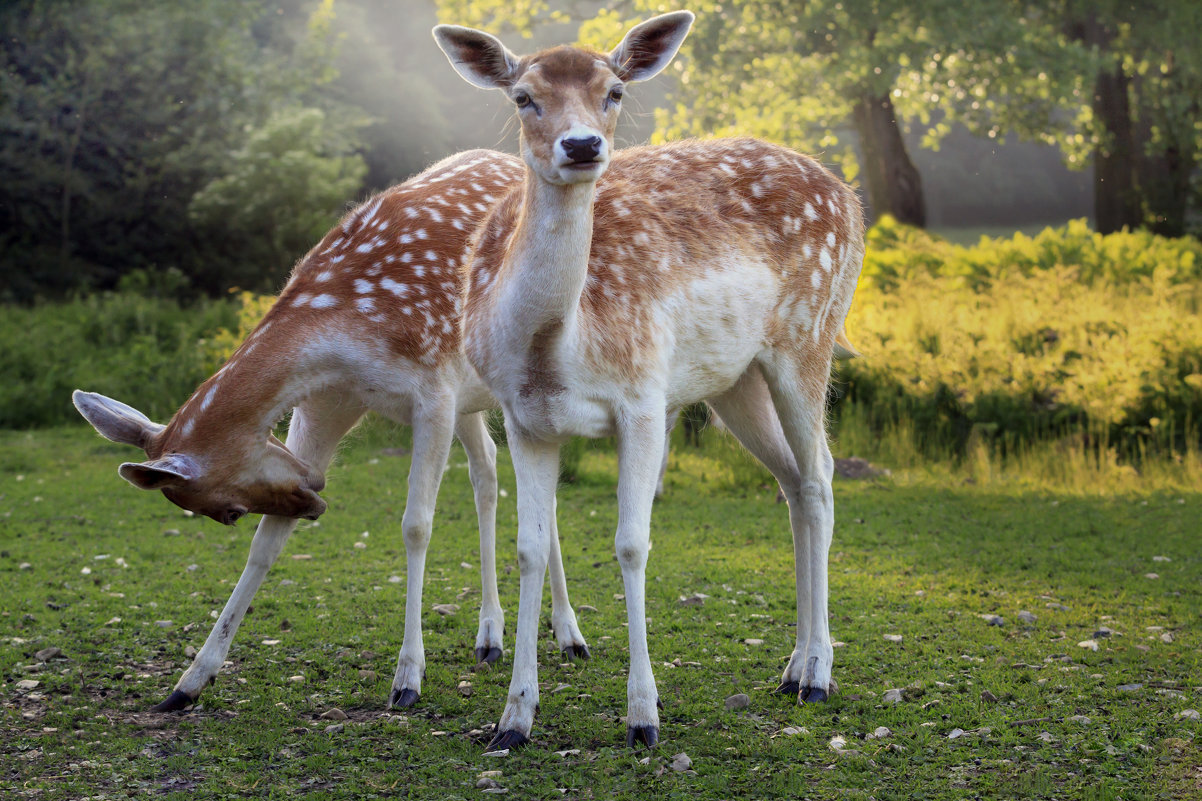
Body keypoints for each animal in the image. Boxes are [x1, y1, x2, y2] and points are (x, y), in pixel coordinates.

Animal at [435, 10, 865, 750]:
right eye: (523, 97)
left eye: (614, 91)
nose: (582, 145)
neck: (555, 345)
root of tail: (851, 198)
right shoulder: (523, 416)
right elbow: (529, 547)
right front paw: (514, 718)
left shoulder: (642, 397)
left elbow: (632, 544)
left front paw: (643, 716)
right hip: (734, 380)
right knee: (791, 481)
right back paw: (790, 668)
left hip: (809, 336)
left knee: (821, 477)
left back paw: (817, 673)